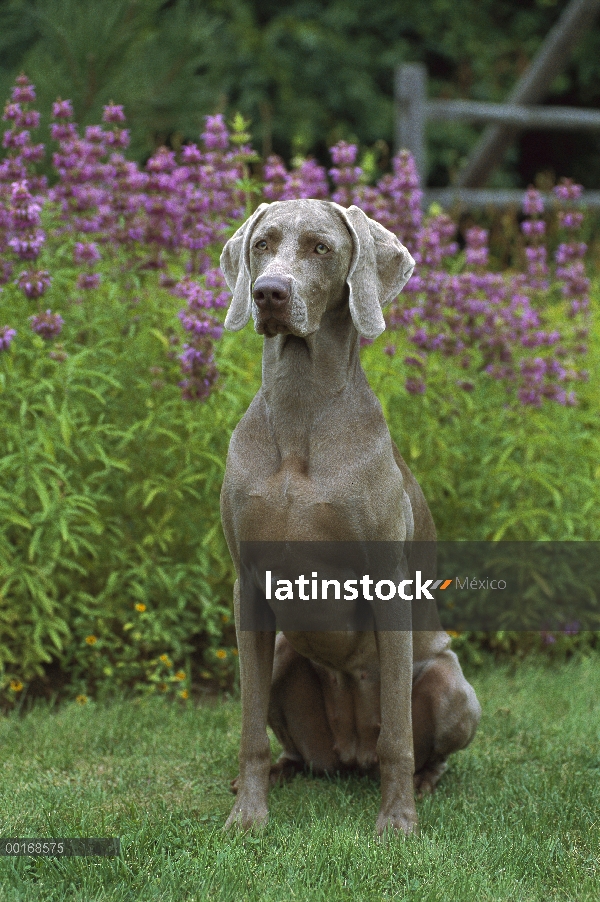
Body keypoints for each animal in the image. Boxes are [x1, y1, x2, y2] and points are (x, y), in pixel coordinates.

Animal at [218, 201, 480, 836]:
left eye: (320, 247)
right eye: (261, 245)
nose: (268, 292)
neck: (300, 411)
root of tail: (347, 754)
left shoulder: (389, 585)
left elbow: (399, 739)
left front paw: (397, 822)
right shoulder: (247, 585)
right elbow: (248, 727)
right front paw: (247, 815)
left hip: (451, 684)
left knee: (420, 746)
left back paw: (422, 785)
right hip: (285, 657)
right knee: (292, 745)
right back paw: (280, 772)